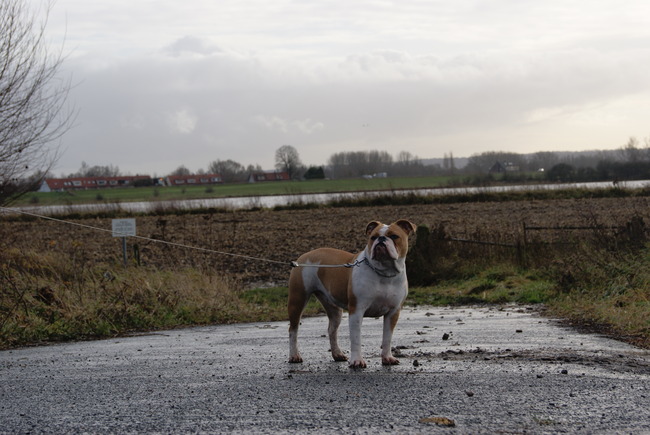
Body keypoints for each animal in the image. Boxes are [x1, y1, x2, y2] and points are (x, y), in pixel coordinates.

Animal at [288, 219, 416, 368]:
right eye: (373, 237)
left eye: (394, 236)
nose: (381, 239)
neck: (384, 272)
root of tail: (306, 255)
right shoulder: (357, 310)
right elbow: (355, 338)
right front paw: (357, 360)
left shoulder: (393, 312)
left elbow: (387, 338)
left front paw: (387, 358)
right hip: (297, 299)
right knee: (293, 330)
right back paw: (294, 355)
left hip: (334, 309)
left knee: (332, 329)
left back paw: (337, 354)